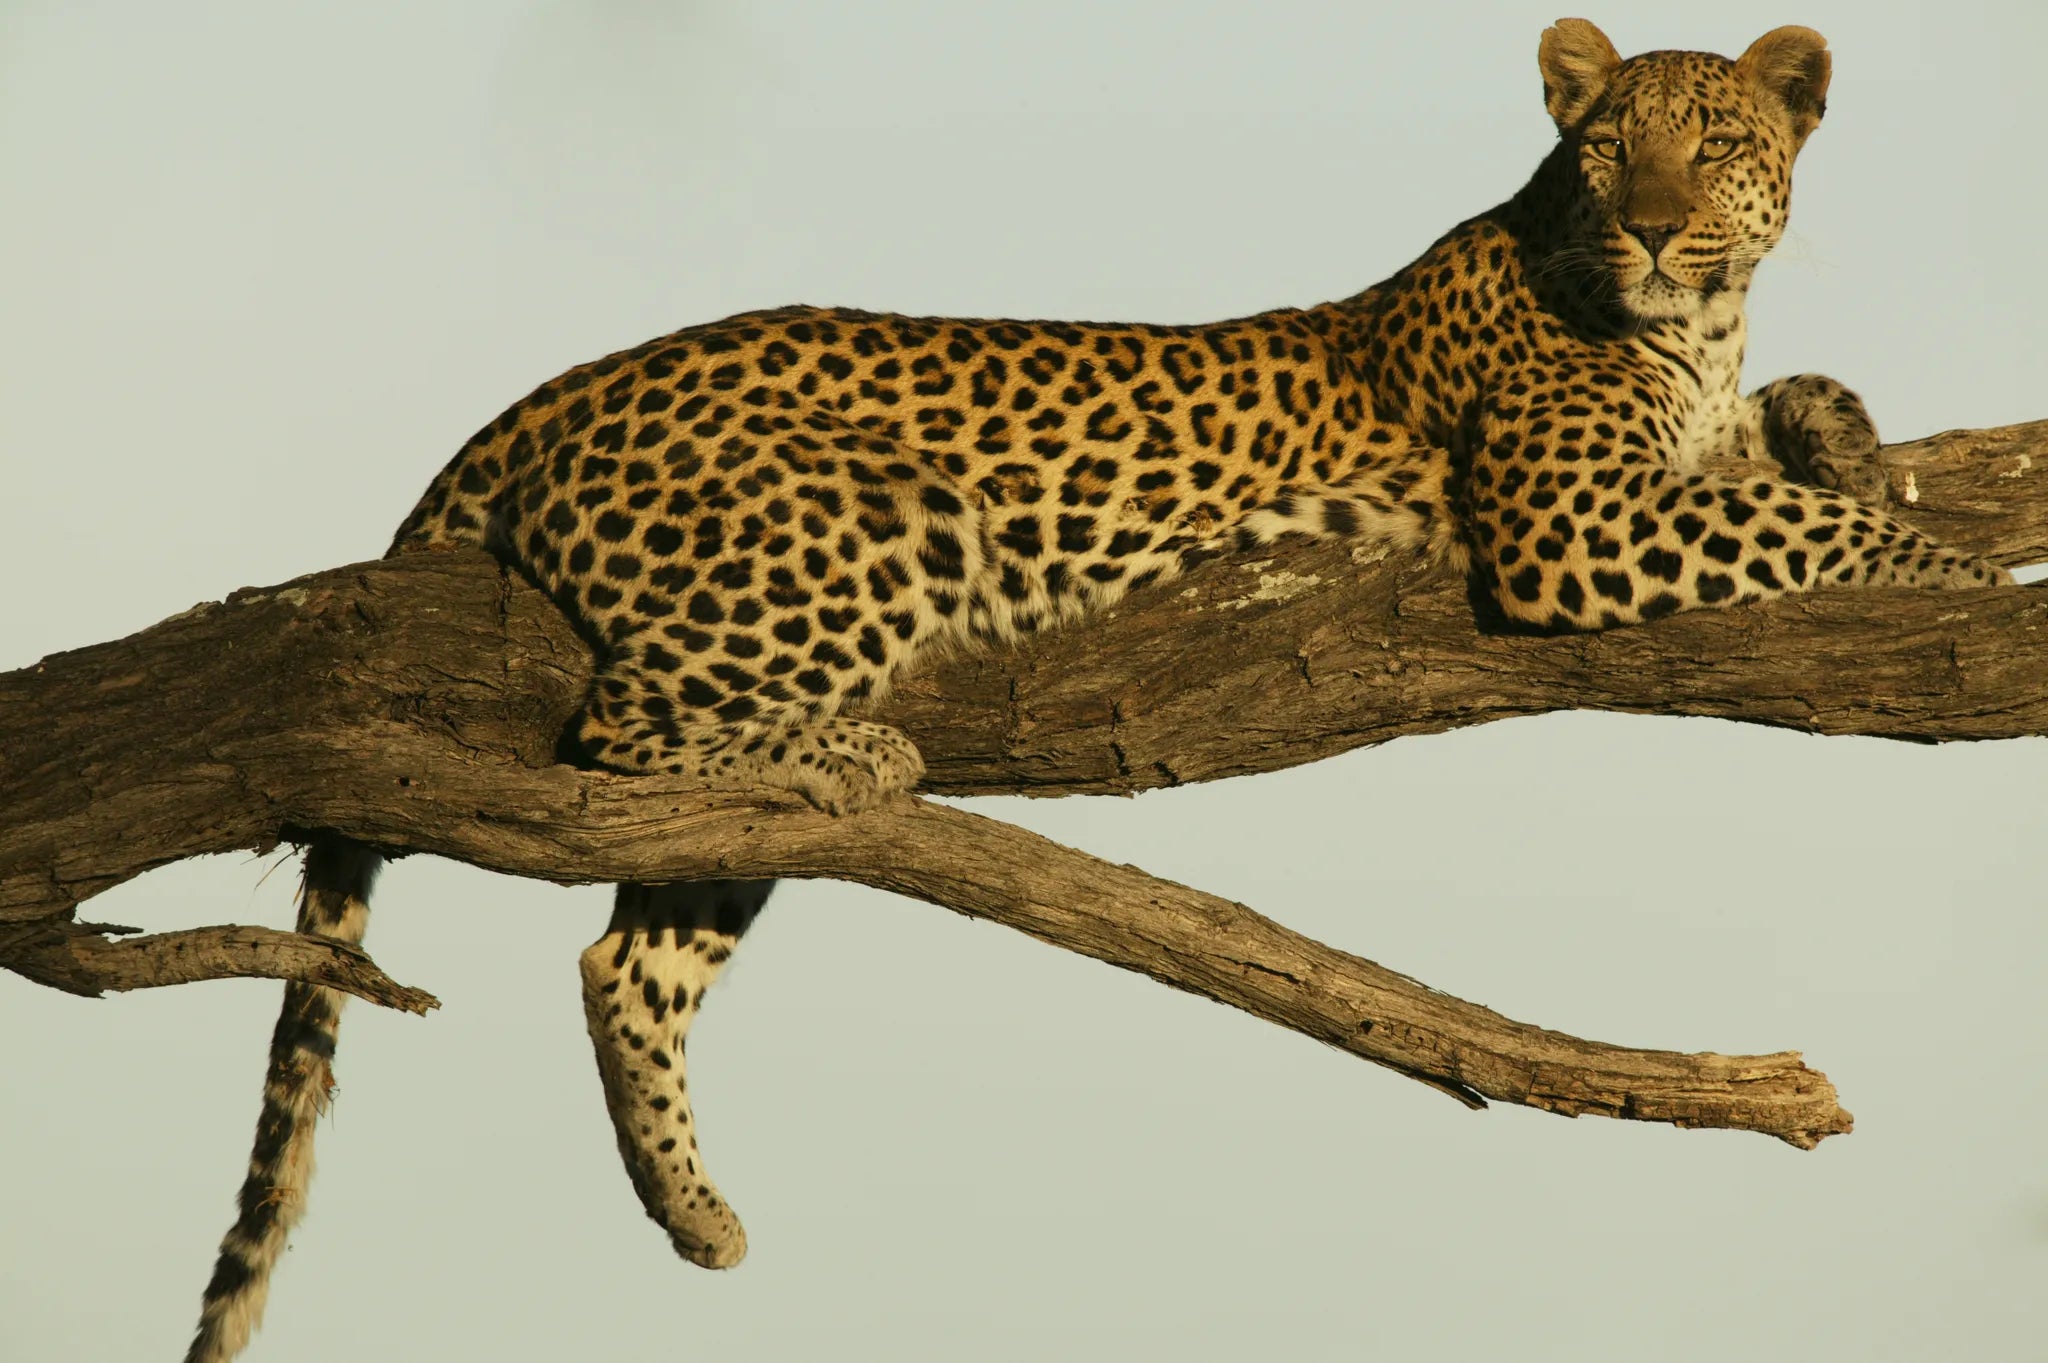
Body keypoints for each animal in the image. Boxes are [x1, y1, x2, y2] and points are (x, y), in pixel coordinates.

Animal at [185, 19, 2011, 1362]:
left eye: (1714, 142)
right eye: (1606, 148)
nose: (1649, 223)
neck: (1688, 323)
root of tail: (554, 389)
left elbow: (1799, 443)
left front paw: (1845, 428)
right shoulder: (1576, 520)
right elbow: (1804, 528)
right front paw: (1960, 570)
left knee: (625, 952)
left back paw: (691, 1207)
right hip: (870, 522)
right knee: (622, 733)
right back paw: (844, 755)